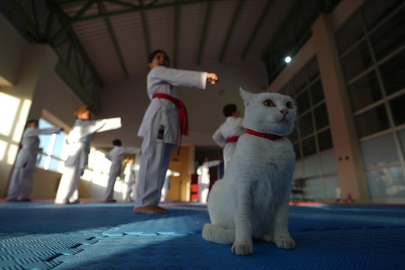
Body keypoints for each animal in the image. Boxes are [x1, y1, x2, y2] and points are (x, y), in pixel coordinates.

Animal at [202, 88, 296, 255]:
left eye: (289, 104)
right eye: (268, 103)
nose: (284, 111)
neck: (270, 142)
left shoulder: (284, 191)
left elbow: (282, 221)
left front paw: (283, 239)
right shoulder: (243, 188)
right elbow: (244, 221)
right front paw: (243, 244)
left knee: (259, 233)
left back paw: (270, 235)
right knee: (246, 230)